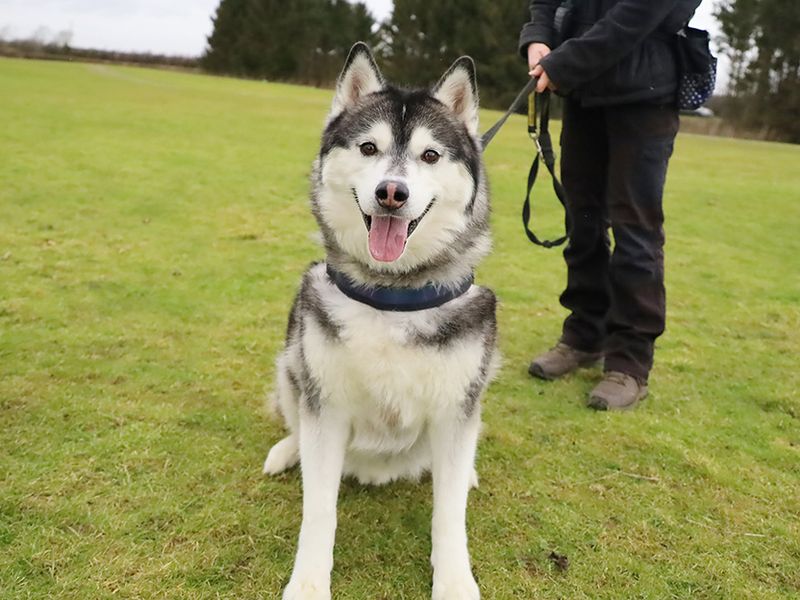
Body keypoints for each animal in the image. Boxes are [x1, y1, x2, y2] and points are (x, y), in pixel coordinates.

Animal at [266, 43, 496, 600]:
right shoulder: (324, 405)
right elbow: (318, 510)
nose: (393, 193)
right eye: (369, 148)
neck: (391, 294)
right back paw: (288, 450)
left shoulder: (457, 406)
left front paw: (454, 581)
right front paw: (308, 582)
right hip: (290, 362)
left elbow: (449, 514)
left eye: (430, 156)